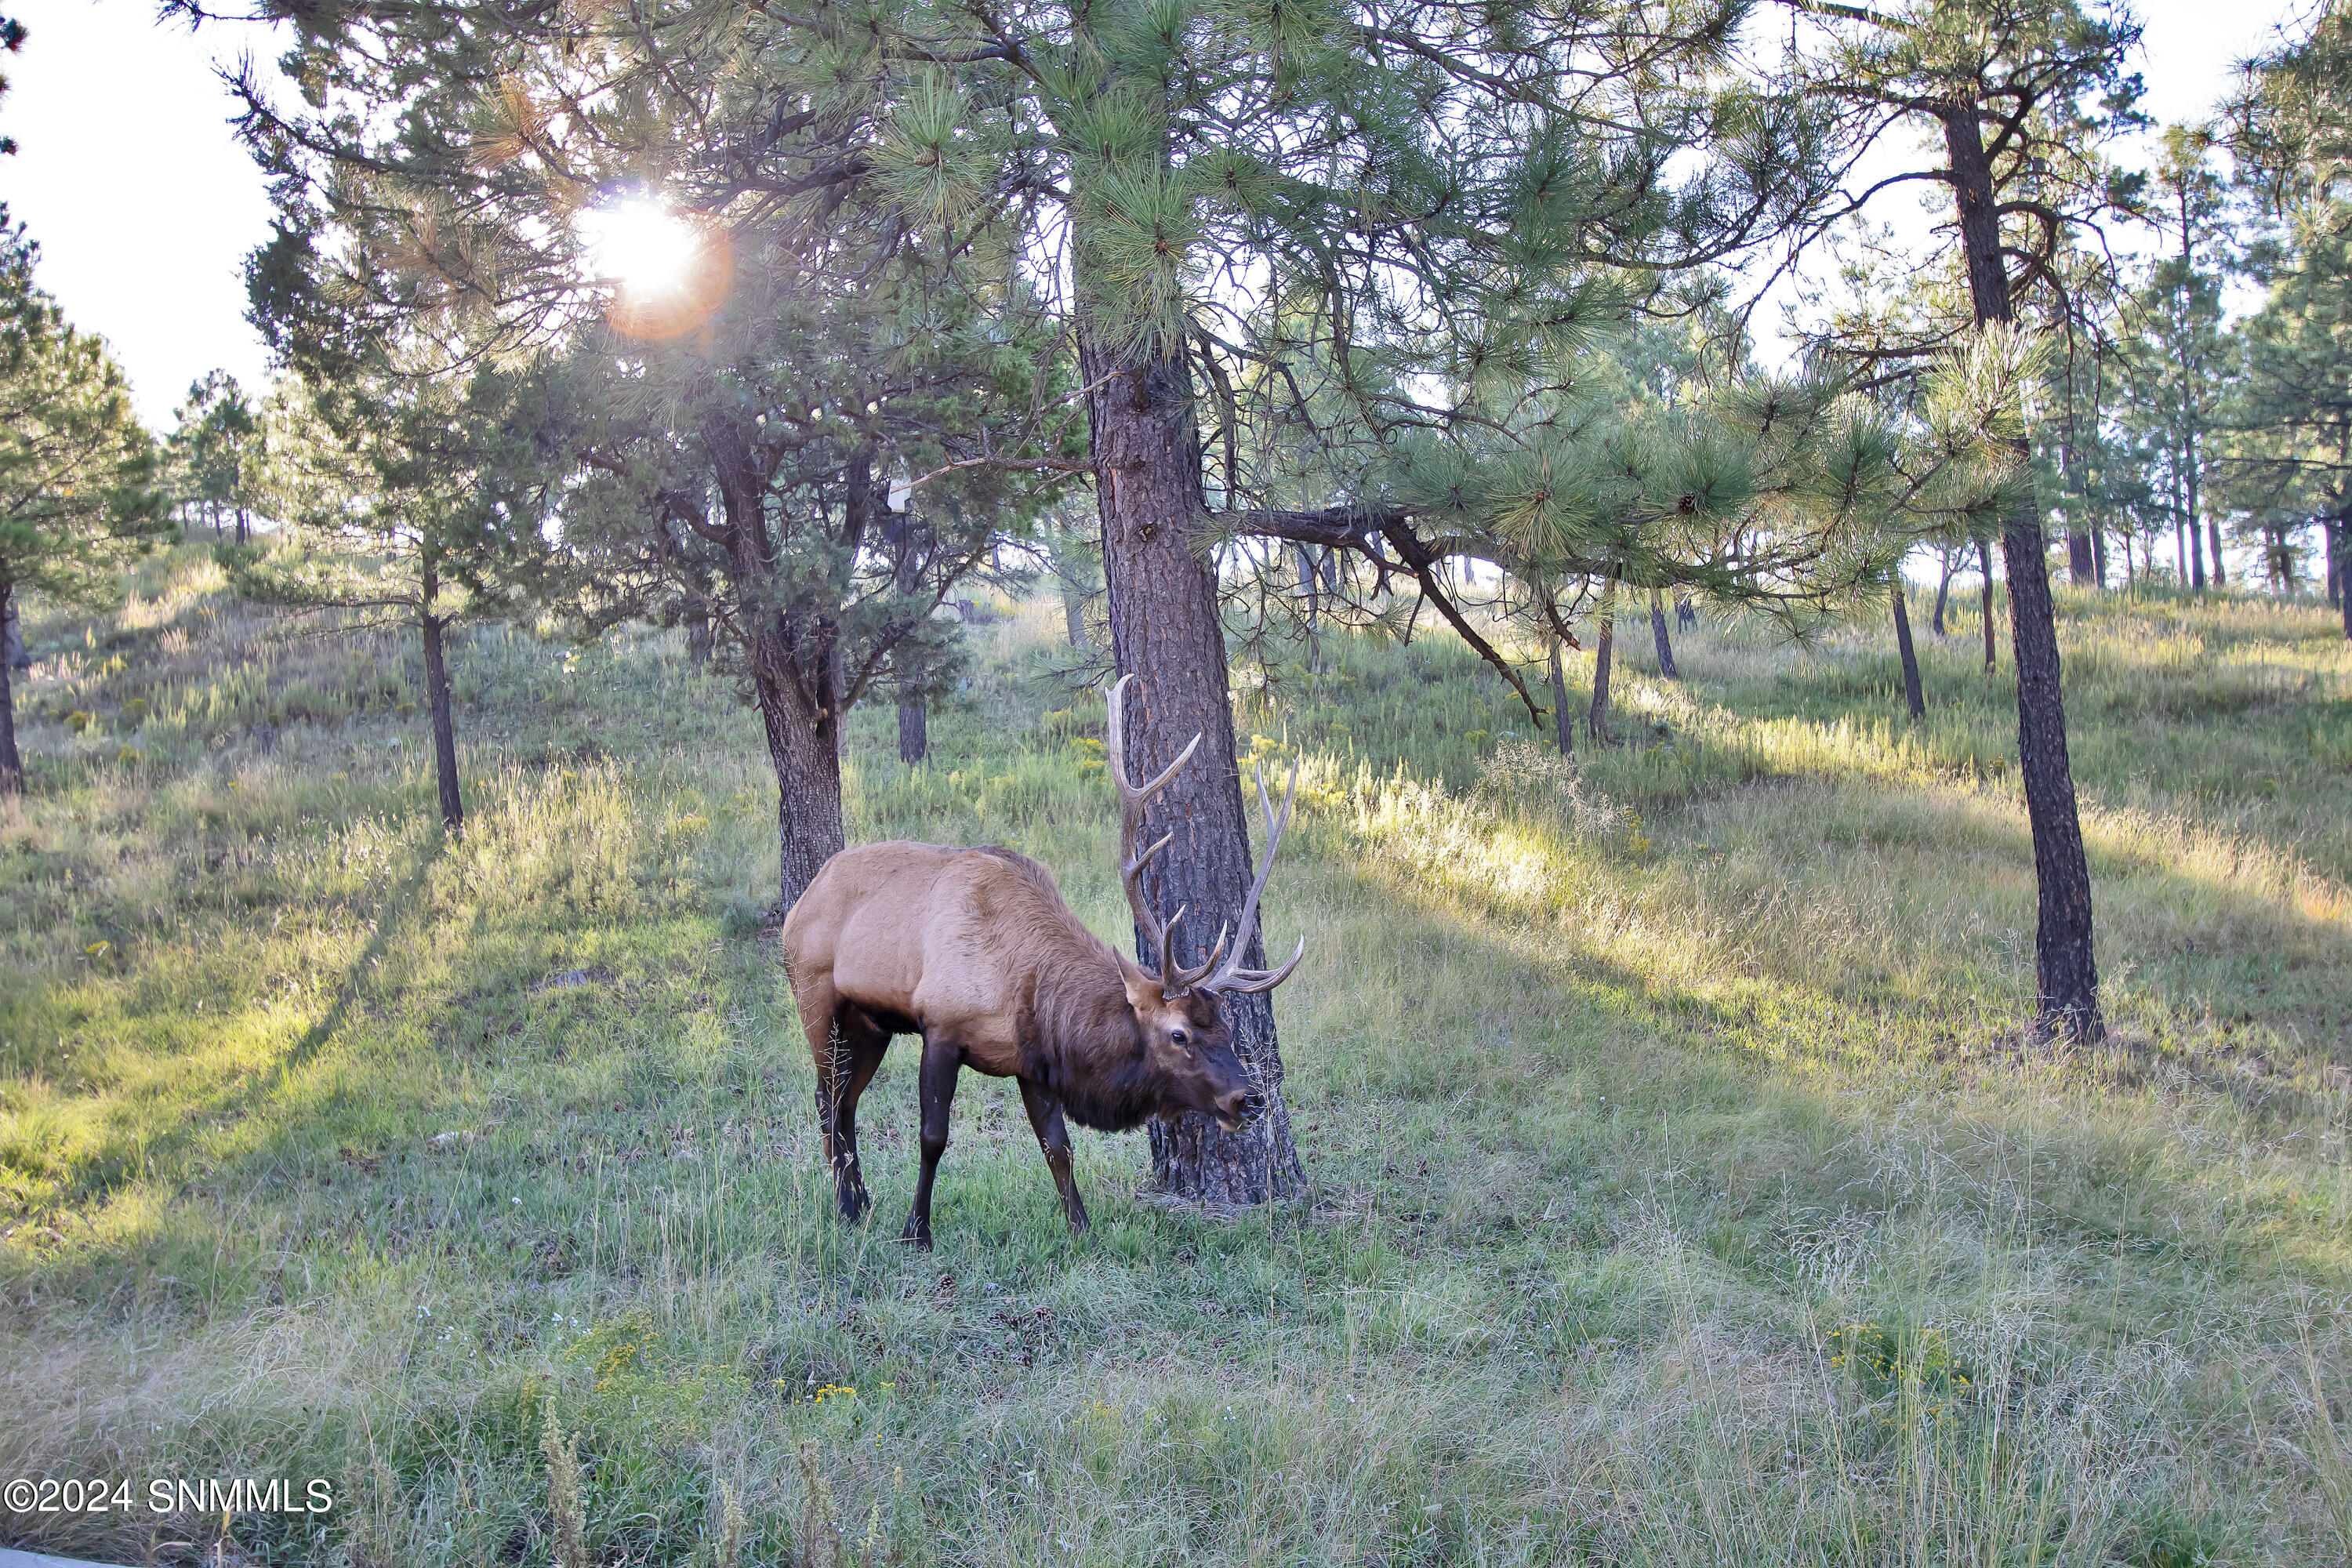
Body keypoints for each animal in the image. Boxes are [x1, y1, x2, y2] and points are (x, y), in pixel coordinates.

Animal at [786, 677, 1308, 1250]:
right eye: (1179, 1034)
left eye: (1229, 1030)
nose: (1248, 1099)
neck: (1023, 991)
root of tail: (800, 901)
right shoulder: (940, 1026)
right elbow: (933, 1136)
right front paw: (917, 1231)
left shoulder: (1032, 1061)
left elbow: (1058, 1147)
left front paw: (1081, 1229)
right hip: (816, 997)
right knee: (826, 1100)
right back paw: (846, 1207)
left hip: (871, 1025)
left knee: (847, 1103)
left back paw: (860, 1202)